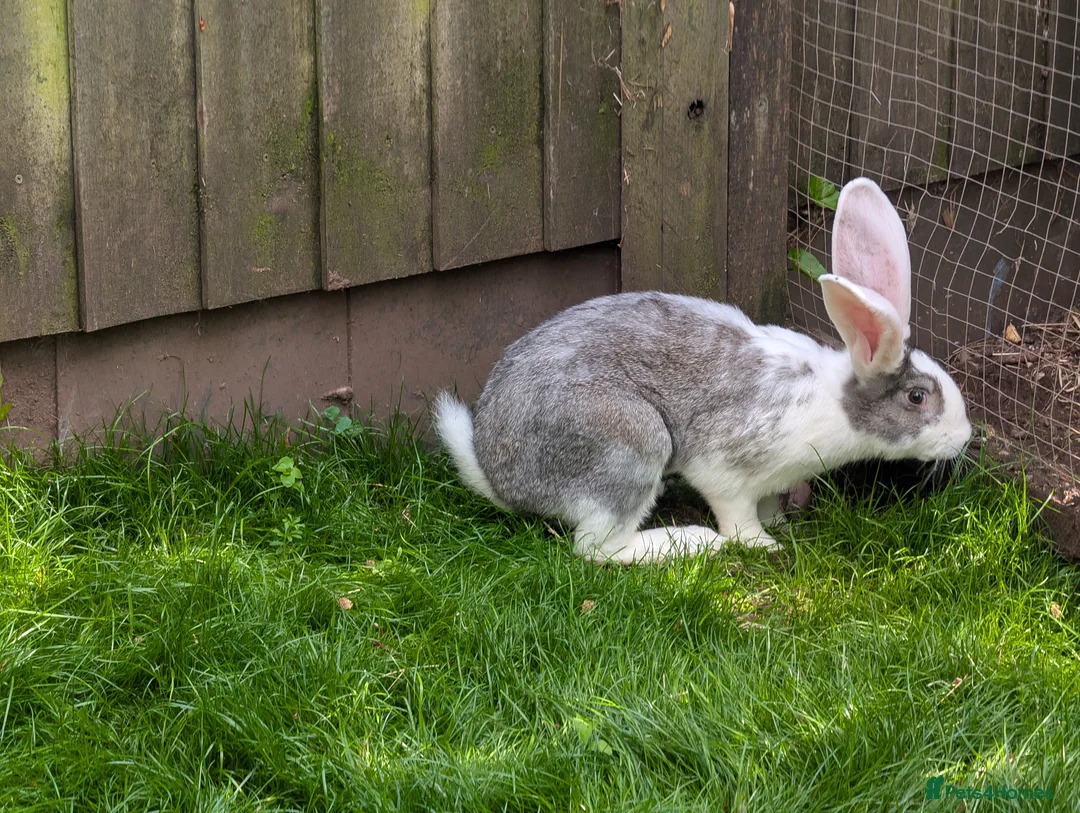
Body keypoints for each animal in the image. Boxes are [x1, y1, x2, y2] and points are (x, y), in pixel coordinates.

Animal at [433, 178, 973, 564]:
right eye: (918, 398)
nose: (965, 437)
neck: (834, 400)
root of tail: (500, 477)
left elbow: (768, 504)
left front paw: (781, 524)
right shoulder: (725, 470)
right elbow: (737, 515)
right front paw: (763, 544)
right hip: (631, 442)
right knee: (597, 549)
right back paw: (691, 542)